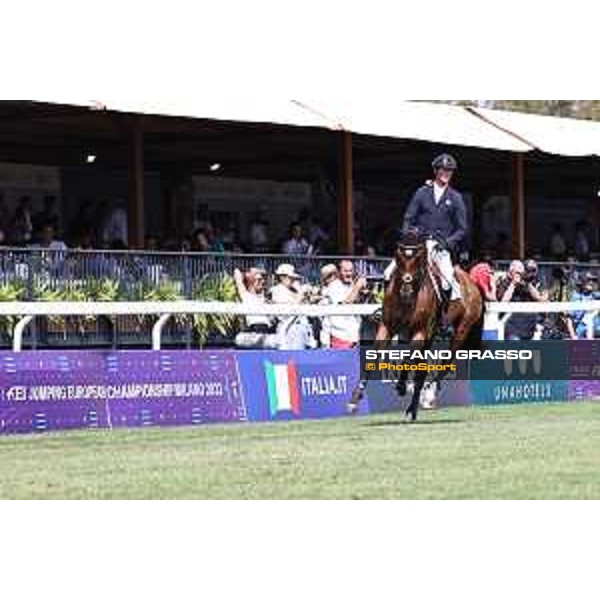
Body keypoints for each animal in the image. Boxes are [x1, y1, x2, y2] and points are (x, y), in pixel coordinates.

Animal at [350, 230, 486, 422]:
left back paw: (428, 395)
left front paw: (401, 386)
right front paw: (355, 398)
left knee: (445, 364)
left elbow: (407, 358)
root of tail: (472, 283)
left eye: (417, 261)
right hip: (431, 335)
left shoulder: (419, 332)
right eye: (399, 260)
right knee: (422, 371)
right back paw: (412, 409)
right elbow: (373, 358)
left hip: (460, 331)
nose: (406, 292)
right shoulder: (387, 327)